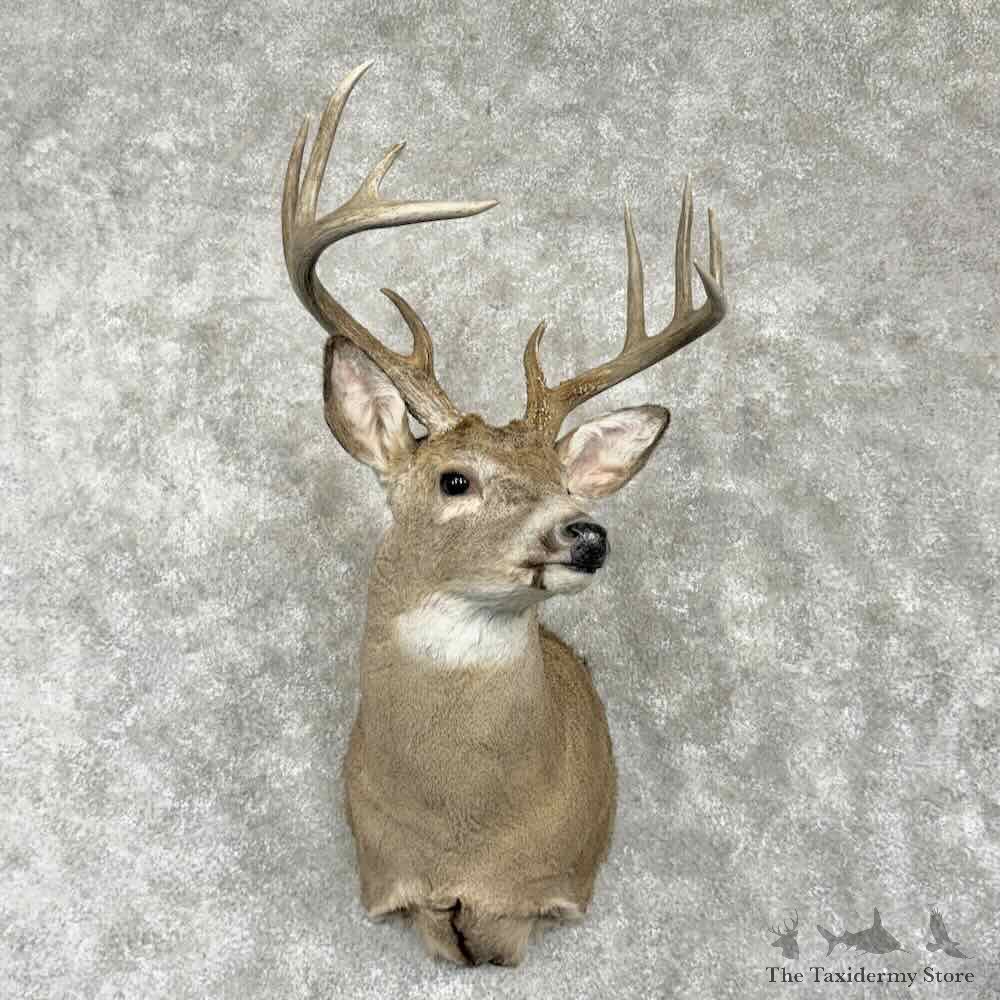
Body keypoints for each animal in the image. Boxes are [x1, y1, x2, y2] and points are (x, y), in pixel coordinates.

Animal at [281, 60, 728, 967]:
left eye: (571, 486)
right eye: (455, 480)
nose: (585, 534)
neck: (462, 834)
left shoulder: (547, 891)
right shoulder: (392, 883)